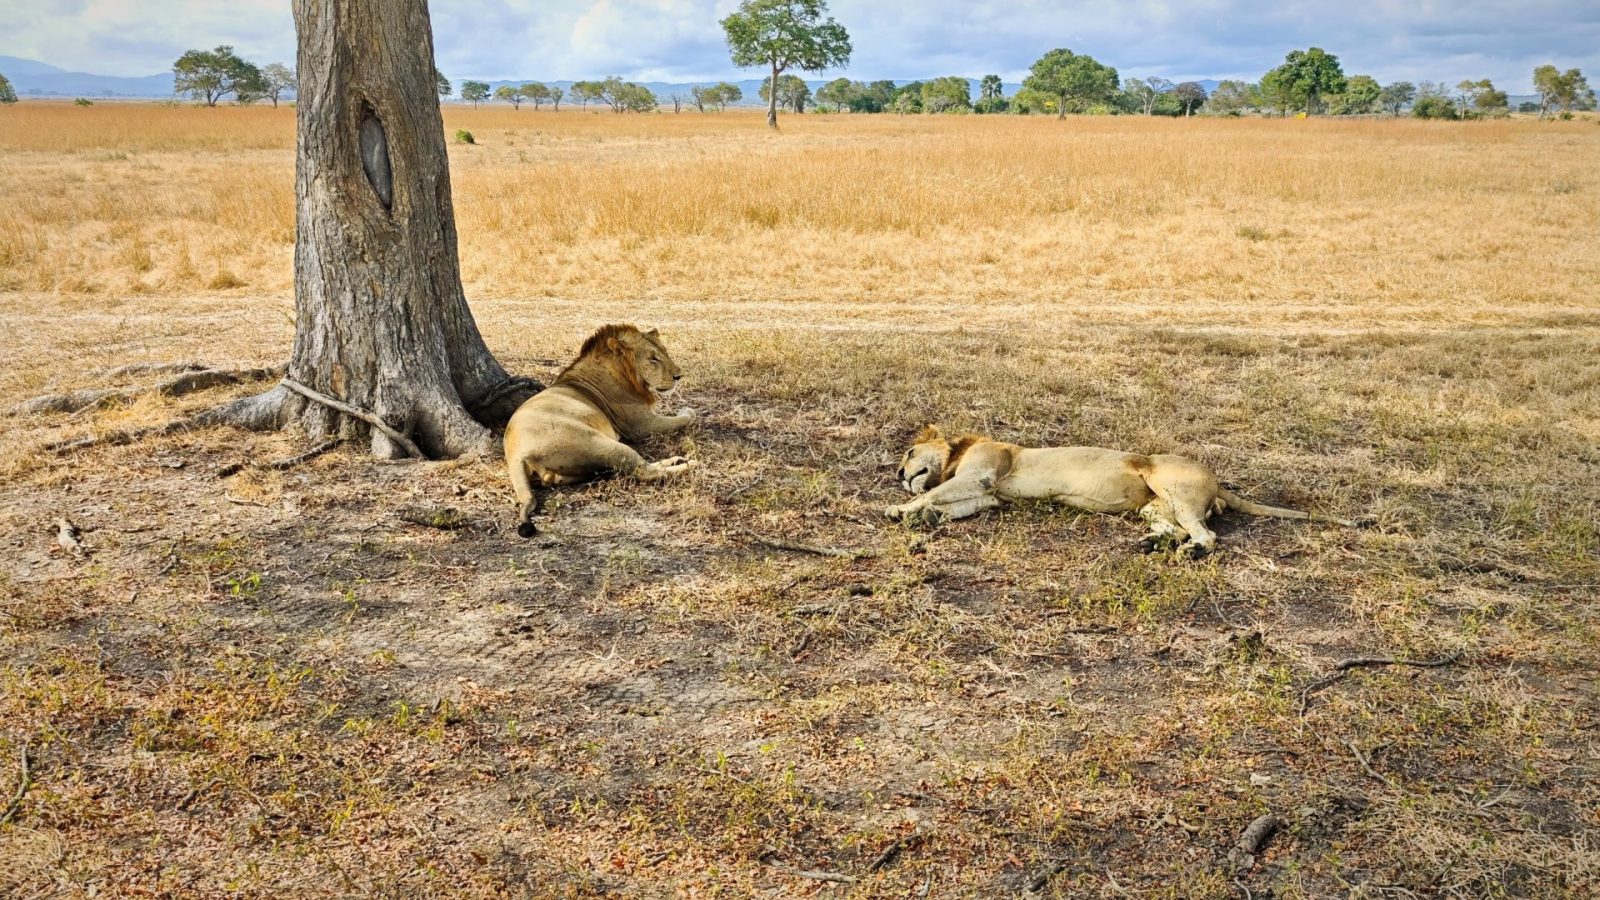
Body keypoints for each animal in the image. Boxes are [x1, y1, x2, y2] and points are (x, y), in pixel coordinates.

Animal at [505, 324, 697, 537]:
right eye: (652, 358)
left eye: (665, 352)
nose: (679, 376)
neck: (622, 373)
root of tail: (516, 455)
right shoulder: (642, 425)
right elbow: (685, 418)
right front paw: (687, 410)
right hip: (603, 443)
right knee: (644, 470)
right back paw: (687, 464)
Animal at [885, 425, 1355, 557]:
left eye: (909, 451)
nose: (898, 472)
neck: (958, 453)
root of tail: (1218, 479)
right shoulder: (988, 495)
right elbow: (949, 504)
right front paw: (926, 515)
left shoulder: (982, 476)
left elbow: (928, 493)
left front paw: (900, 508)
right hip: (1155, 507)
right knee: (1179, 527)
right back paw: (1150, 545)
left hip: (1167, 482)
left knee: (1206, 534)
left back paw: (1192, 551)